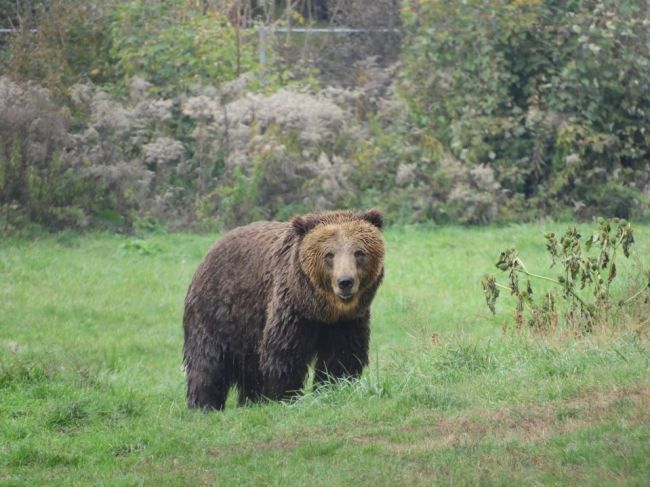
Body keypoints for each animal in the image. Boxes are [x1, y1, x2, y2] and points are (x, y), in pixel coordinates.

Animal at [182, 211, 382, 412]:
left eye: (359, 252)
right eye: (329, 254)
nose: (345, 282)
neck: (321, 309)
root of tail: (210, 251)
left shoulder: (346, 322)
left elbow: (342, 355)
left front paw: (333, 387)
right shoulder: (292, 309)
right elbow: (285, 352)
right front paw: (286, 396)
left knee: (250, 367)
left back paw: (251, 401)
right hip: (218, 311)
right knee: (208, 360)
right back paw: (204, 405)